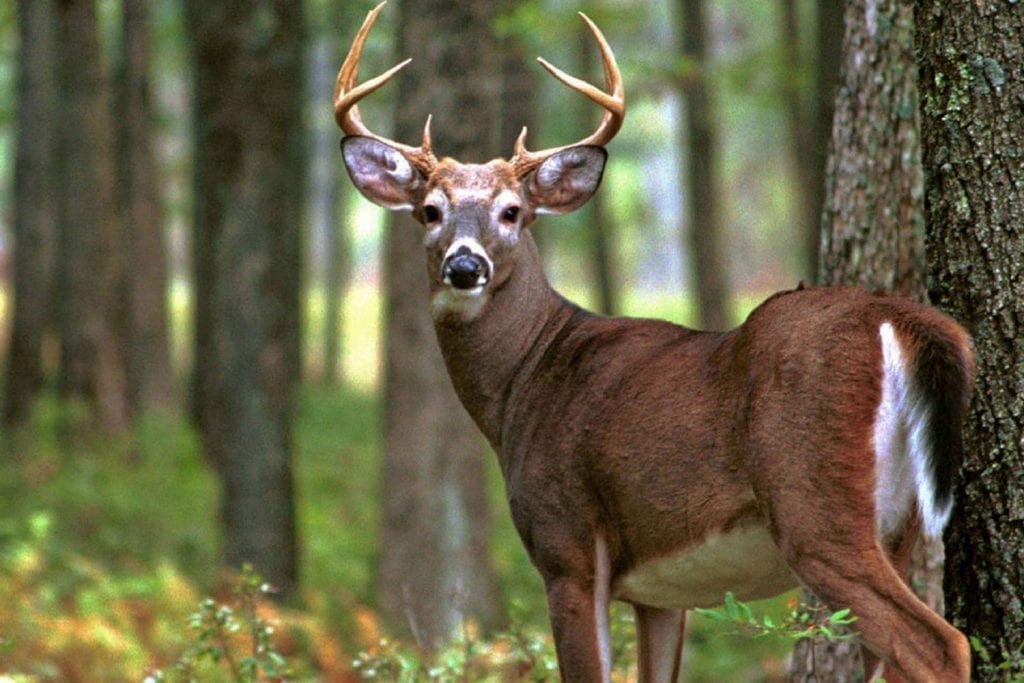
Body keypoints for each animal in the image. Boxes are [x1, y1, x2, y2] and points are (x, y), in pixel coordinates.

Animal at [335, 2, 974, 679]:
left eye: (512, 211)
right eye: (430, 210)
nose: (464, 266)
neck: (524, 383)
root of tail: (902, 319)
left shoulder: (566, 544)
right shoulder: (660, 594)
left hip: (816, 503)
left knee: (937, 642)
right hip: (900, 525)